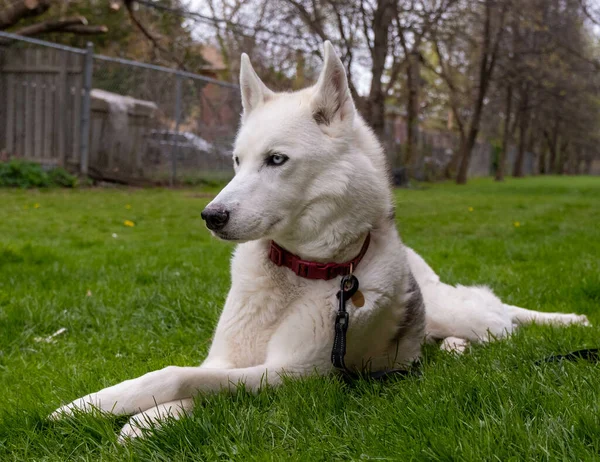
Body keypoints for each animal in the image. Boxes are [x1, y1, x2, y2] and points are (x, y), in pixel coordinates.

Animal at [50, 42, 584, 440]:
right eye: (236, 161)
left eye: (277, 160)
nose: (210, 217)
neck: (300, 272)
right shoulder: (229, 359)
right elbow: (197, 379)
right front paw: (139, 416)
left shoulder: (299, 376)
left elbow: (178, 375)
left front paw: (103, 406)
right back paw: (450, 348)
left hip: (467, 316)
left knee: (502, 320)